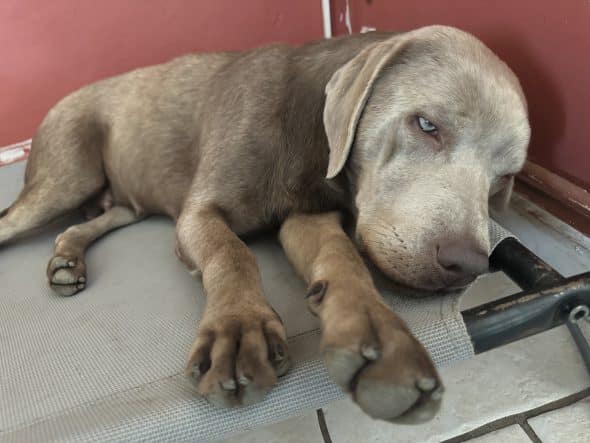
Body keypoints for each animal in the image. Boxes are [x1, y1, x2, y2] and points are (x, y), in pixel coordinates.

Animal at [0, 26, 528, 424]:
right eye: (426, 125)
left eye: (505, 177)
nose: (469, 264)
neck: (308, 136)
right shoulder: (200, 212)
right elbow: (232, 252)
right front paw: (239, 326)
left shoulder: (305, 216)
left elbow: (341, 257)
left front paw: (376, 333)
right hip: (66, 175)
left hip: (125, 197)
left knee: (94, 220)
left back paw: (67, 258)